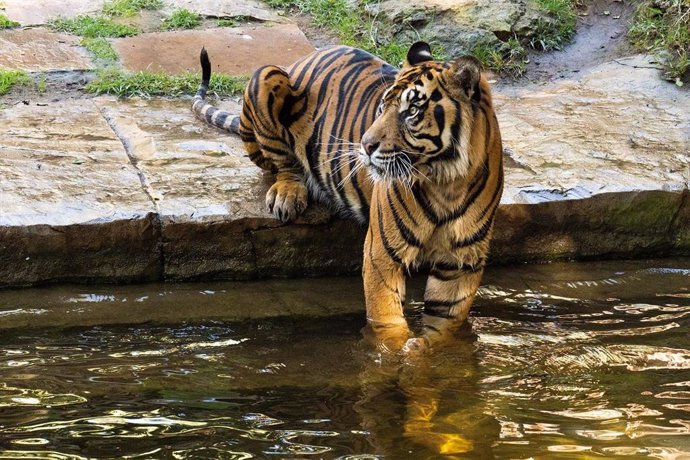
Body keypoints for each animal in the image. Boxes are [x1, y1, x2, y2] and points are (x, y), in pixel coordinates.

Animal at [191, 42, 502, 352]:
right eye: (382, 107)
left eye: (412, 110)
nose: (366, 145)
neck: (447, 181)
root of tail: (302, 60)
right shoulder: (381, 254)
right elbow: (385, 320)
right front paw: (397, 351)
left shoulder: (460, 264)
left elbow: (447, 324)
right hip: (265, 75)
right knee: (282, 164)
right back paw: (287, 195)